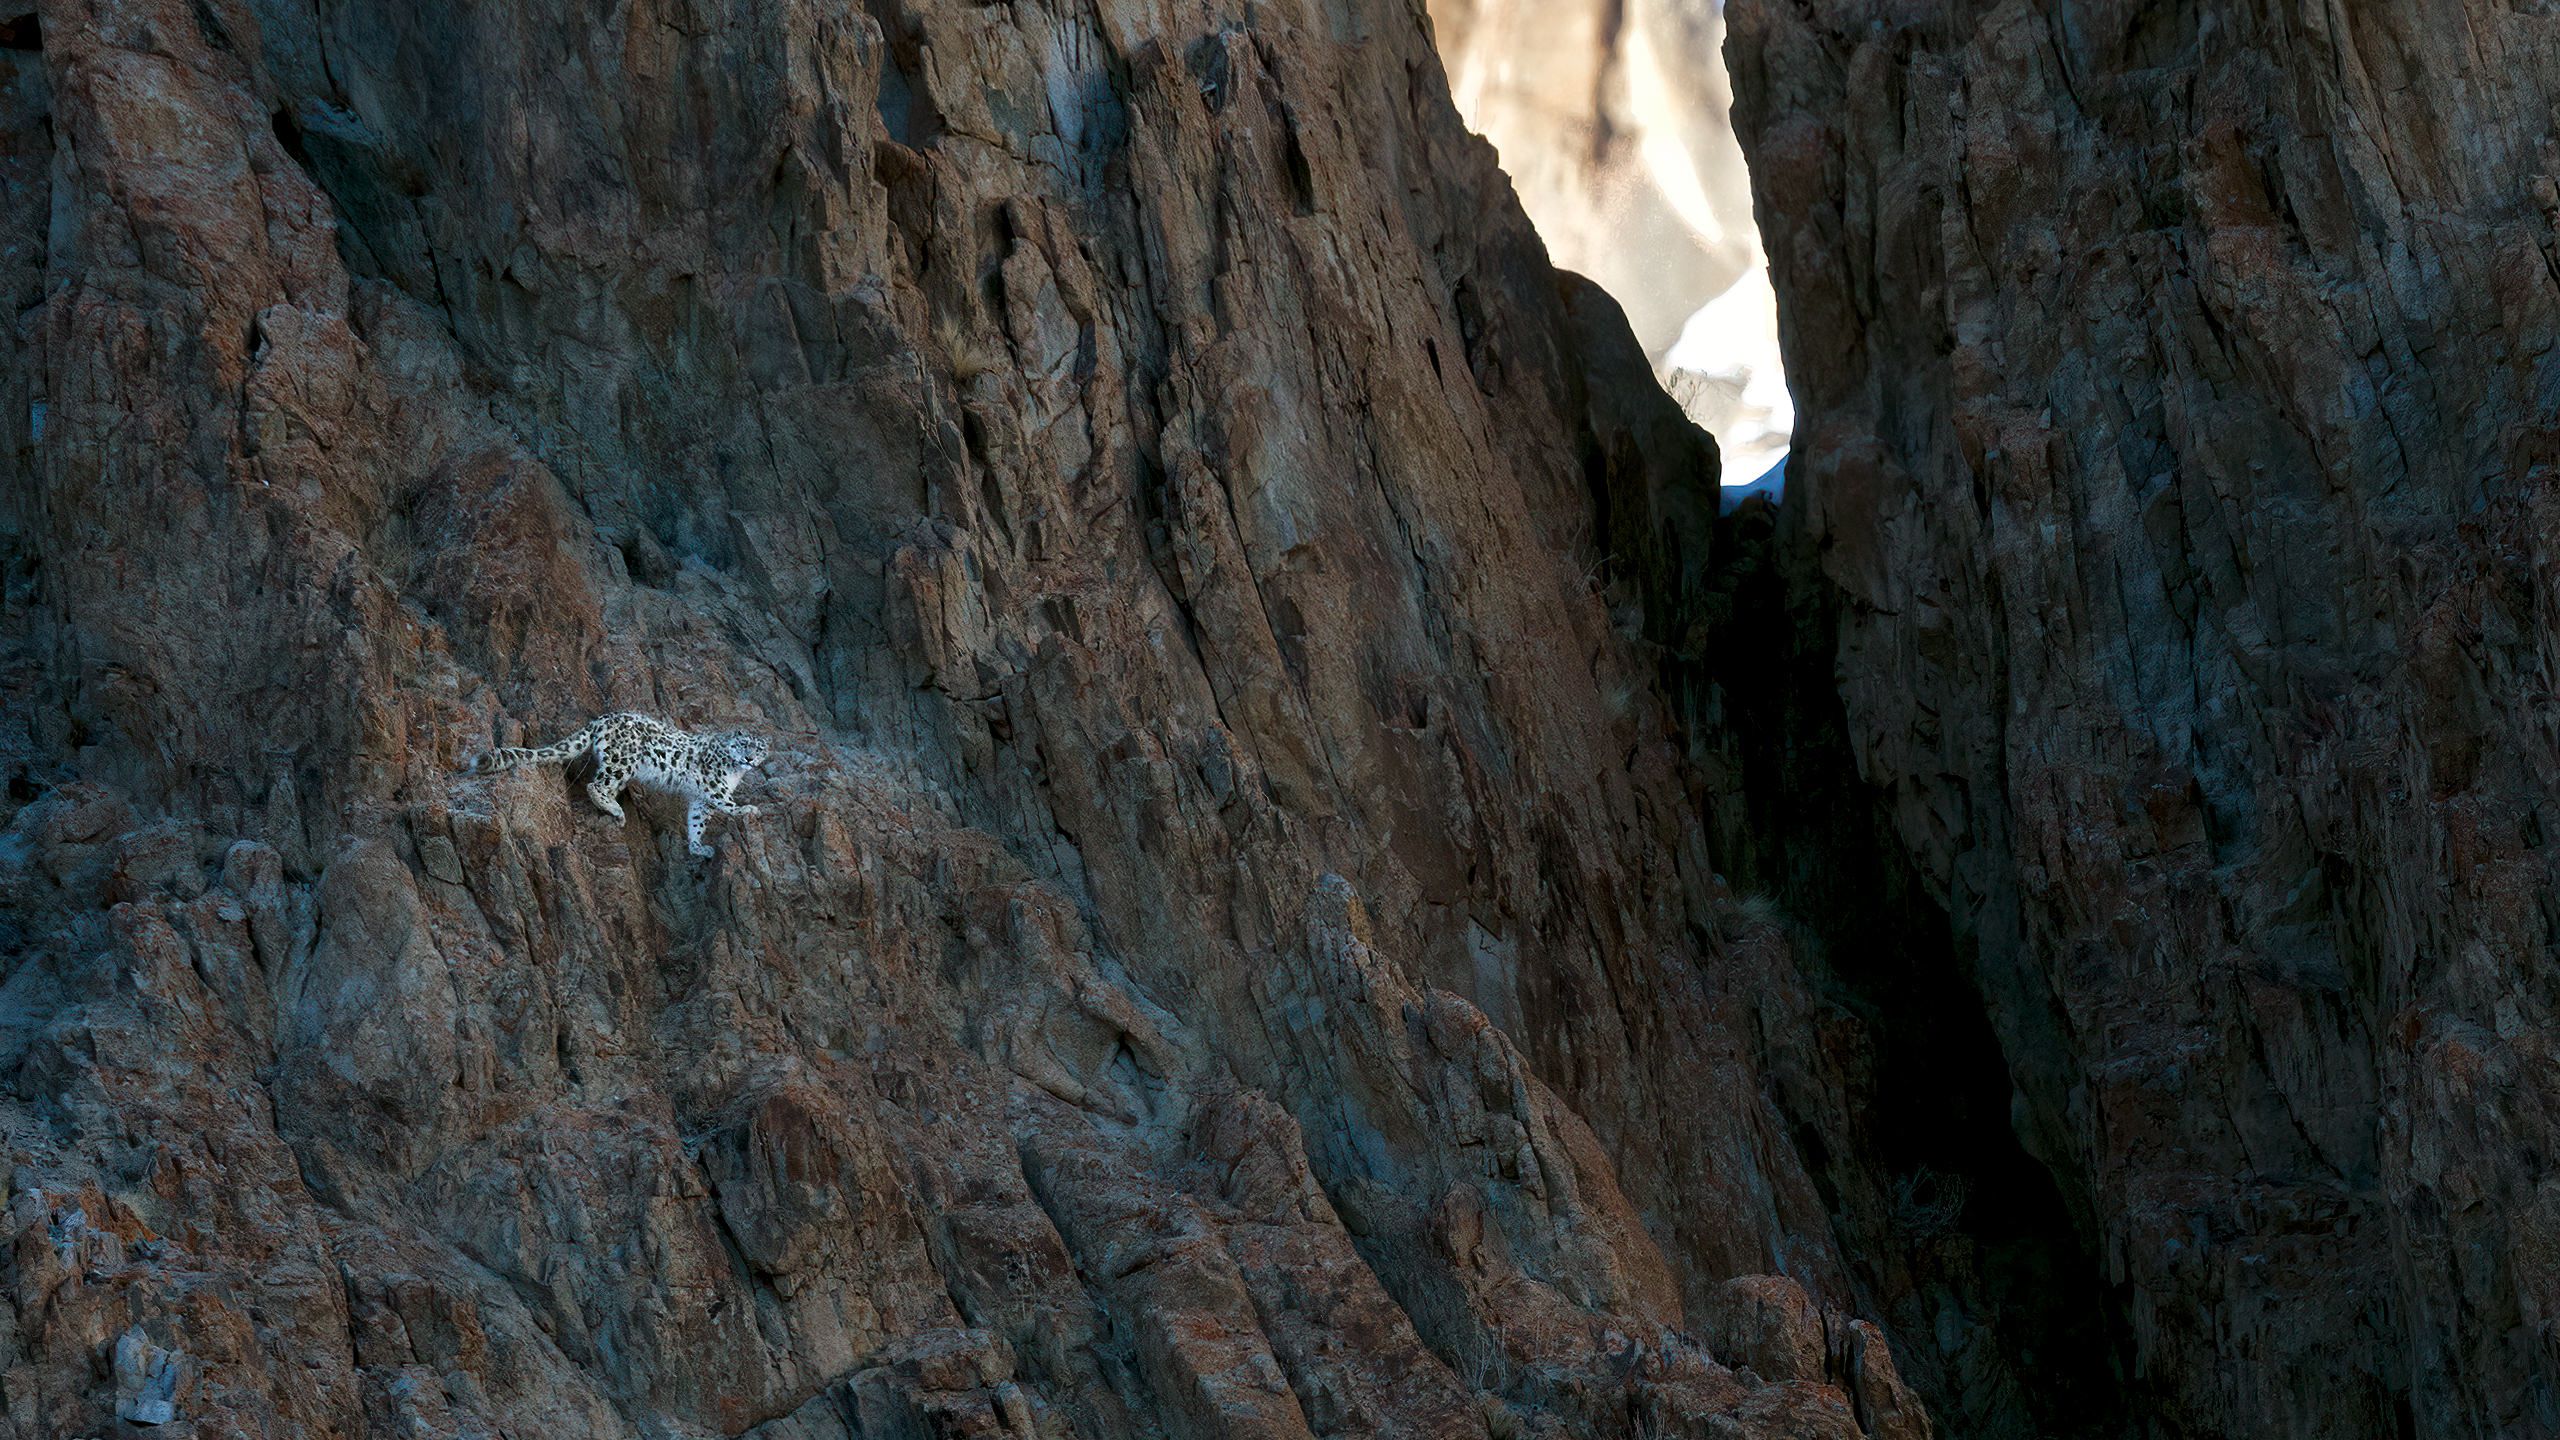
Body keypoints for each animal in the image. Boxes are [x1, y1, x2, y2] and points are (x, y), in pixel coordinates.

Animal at [468, 713, 767, 857]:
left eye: (760, 748)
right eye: (744, 744)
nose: (750, 758)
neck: (734, 772)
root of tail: (602, 719)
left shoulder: (700, 799)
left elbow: (697, 821)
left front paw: (697, 847)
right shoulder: (713, 785)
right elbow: (726, 801)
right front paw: (748, 809)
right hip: (623, 761)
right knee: (596, 785)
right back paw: (615, 810)